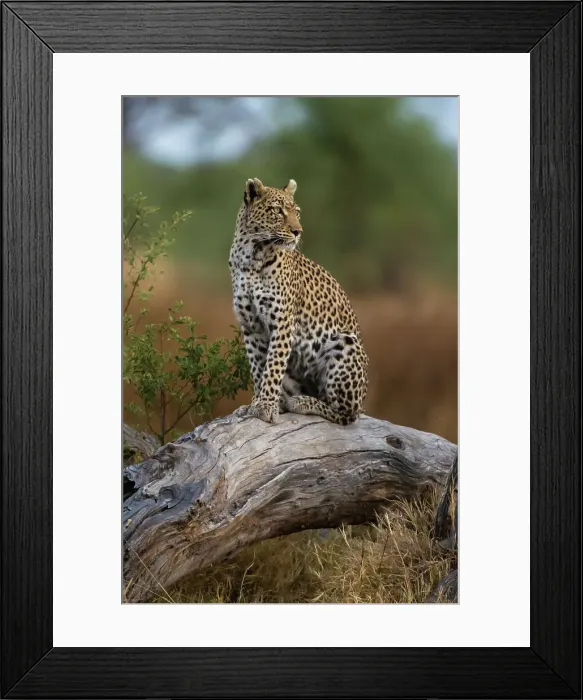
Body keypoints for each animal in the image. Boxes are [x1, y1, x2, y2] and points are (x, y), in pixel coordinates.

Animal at [229, 177, 368, 426]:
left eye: (297, 212)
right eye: (278, 211)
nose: (298, 232)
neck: (251, 255)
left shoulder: (283, 322)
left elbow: (273, 366)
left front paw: (266, 406)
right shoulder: (251, 326)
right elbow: (258, 368)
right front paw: (256, 403)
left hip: (346, 344)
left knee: (346, 414)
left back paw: (301, 402)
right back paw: (287, 401)